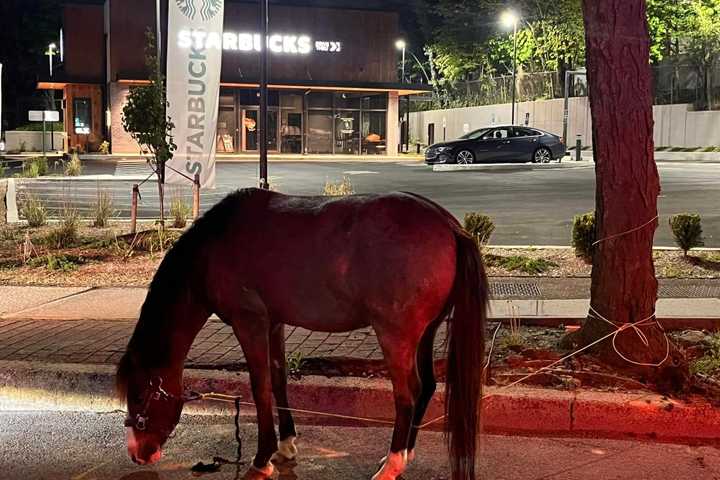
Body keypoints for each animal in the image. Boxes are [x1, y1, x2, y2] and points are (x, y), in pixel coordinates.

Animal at [118, 188, 490, 480]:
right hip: (426, 333)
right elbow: (279, 379)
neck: (214, 249)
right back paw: (404, 455)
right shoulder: (274, 323)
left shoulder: (249, 323)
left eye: (138, 395)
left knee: (407, 394)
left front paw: (261, 460)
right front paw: (285, 445)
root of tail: (449, 226)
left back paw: (392, 465)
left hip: (395, 336)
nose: (138, 453)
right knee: (427, 387)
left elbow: (260, 387)